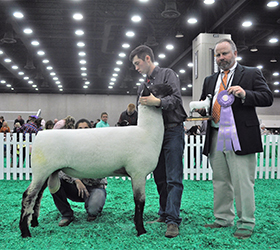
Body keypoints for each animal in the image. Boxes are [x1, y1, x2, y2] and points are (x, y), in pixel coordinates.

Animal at [20, 84, 171, 238]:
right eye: (156, 87)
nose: (170, 86)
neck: (146, 132)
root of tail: (39, 135)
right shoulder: (138, 173)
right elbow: (140, 202)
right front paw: (141, 230)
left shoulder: (137, 174)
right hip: (41, 171)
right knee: (28, 196)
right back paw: (25, 231)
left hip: (46, 173)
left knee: (37, 197)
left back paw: (34, 223)